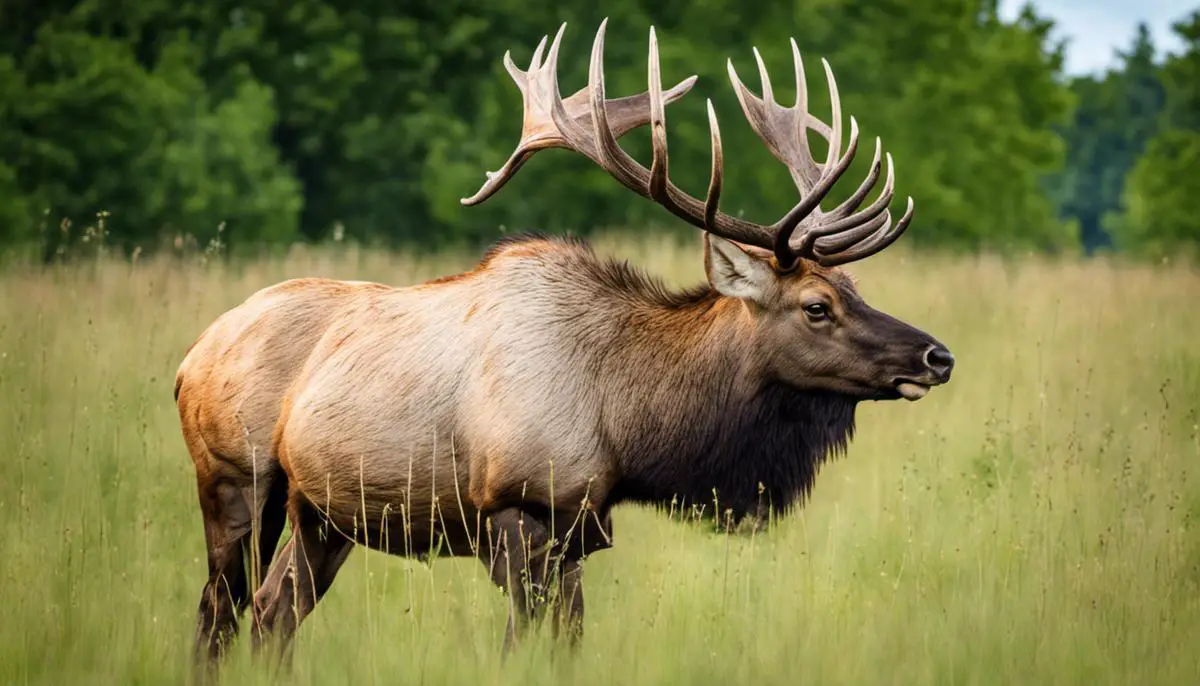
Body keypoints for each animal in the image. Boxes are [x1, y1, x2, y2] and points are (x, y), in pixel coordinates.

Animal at [171, 20, 955, 671]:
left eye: (855, 288)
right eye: (817, 307)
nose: (936, 356)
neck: (628, 425)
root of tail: (188, 359)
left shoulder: (580, 529)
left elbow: (567, 646)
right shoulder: (516, 509)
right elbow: (521, 647)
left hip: (323, 514)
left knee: (272, 613)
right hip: (237, 481)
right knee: (218, 613)